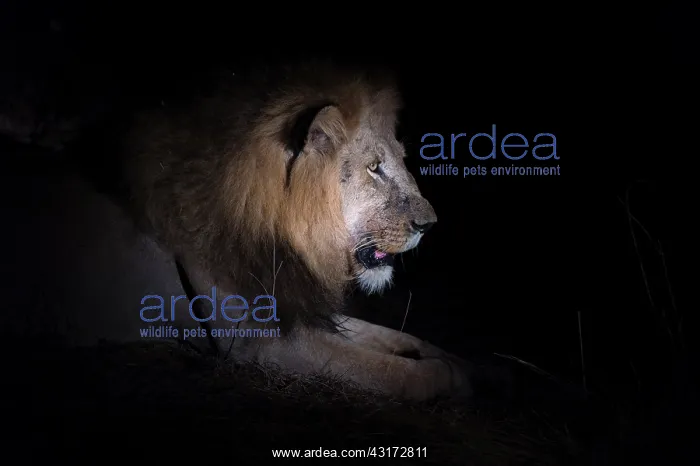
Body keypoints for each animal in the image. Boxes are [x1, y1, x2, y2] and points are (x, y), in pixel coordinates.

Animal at [115, 62, 473, 400]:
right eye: (373, 167)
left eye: (401, 159)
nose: (430, 224)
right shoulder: (258, 341)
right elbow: (392, 371)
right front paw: (447, 375)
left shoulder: (299, 301)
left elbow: (389, 334)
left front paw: (459, 361)